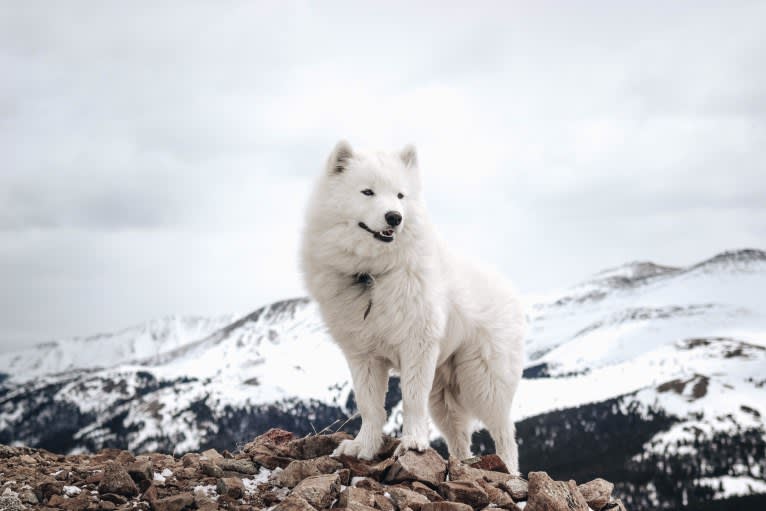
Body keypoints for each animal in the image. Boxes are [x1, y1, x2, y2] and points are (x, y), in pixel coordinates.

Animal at [300, 142, 528, 474]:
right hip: (444, 397)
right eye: (367, 192)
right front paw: (364, 447)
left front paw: (413, 443)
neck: (372, 274)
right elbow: (370, 407)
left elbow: (410, 399)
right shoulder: (362, 355)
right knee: (460, 438)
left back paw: (509, 471)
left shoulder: (416, 346)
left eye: (400, 195)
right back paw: (461, 463)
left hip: (484, 382)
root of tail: (509, 286)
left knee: (505, 433)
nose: (394, 217)